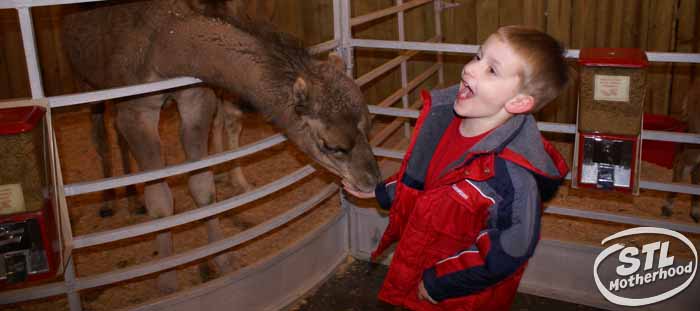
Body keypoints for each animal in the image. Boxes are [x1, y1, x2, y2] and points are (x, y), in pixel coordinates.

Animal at [62, 0, 380, 292]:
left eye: (369, 124)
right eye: (331, 144)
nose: (371, 180)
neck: (164, 43)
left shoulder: (194, 97)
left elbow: (203, 188)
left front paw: (223, 261)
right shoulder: (136, 110)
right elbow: (161, 202)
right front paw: (167, 281)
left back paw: (131, 199)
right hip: (86, 81)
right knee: (100, 133)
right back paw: (108, 202)